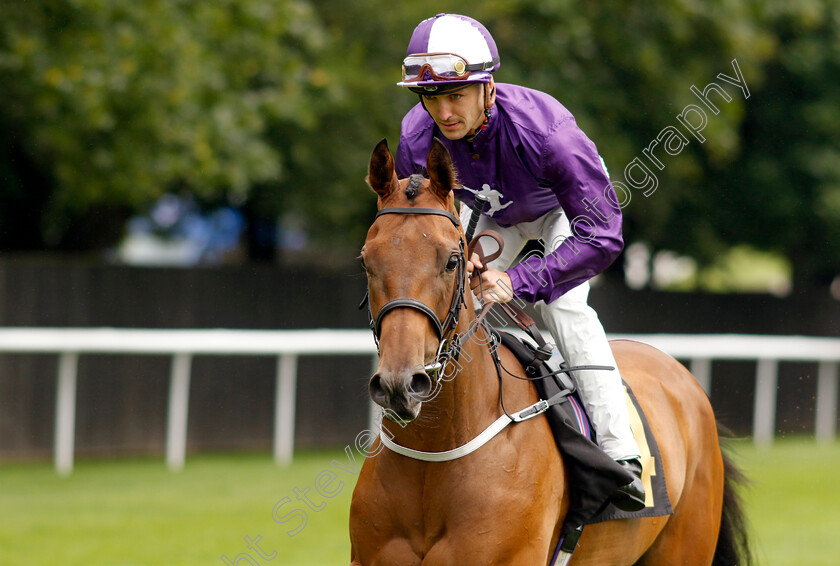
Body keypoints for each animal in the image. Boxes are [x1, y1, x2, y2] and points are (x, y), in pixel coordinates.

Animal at [348, 139, 748, 566]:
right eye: (367, 260)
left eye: (452, 261)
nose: (400, 384)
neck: (435, 450)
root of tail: (680, 374)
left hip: (686, 544)